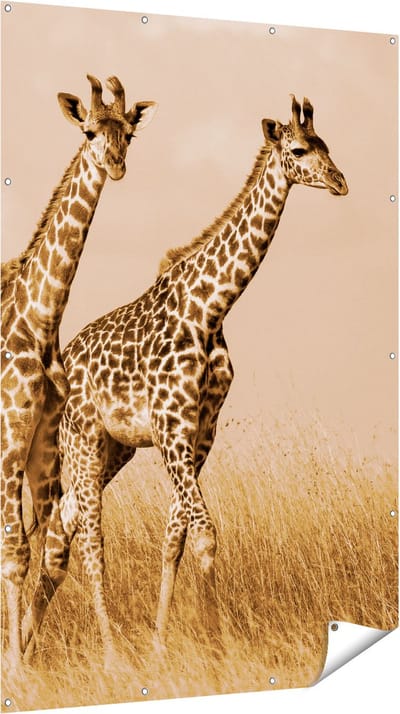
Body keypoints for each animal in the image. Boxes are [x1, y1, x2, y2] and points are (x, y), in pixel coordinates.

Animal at [1, 74, 157, 668]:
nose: (115, 164)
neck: (40, 320)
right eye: (89, 130)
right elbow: (14, 549)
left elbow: (45, 549)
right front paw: (16, 669)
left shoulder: (44, 444)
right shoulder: (10, 432)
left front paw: (21, 659)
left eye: (128, 133)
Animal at [36, 96, 348, 662]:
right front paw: (218, 642)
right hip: (83, 441)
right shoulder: (170, 428)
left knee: (60, 525)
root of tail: (61, 367)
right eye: (298, 149)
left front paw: (162, 644)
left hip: (116, 447)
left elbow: (176, 536)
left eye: (326, 144)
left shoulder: (201, 430)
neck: (210, 309)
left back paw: (25, 645)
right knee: (88, 536)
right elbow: (205, 533)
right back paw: (110, 653)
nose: (340, 182)